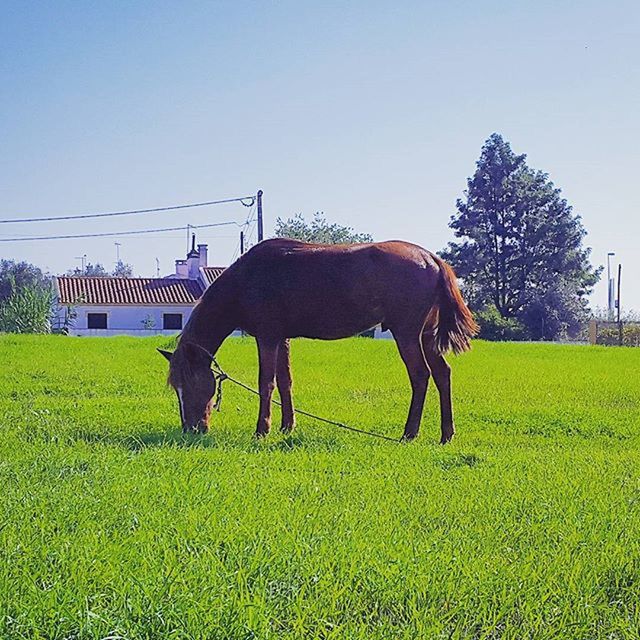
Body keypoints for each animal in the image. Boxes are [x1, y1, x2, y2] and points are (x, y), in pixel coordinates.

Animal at [158, 238, 476, 442]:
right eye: (176, 388)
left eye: (190, 383)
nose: (192, 429)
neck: (247, 279)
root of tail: (431, 258)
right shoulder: (282, 338)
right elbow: (285, 382)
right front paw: (287, 426)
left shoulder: (267, 336)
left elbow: (266, 383)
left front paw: (262, 429)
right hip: (426, 336)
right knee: (442, 374)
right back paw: (446, 434)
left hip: (407, 334)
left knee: (421, 376)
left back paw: (410, 432)